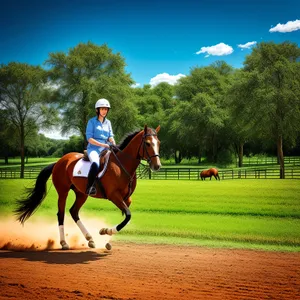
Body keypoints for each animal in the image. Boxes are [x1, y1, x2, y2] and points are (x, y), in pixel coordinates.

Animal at [14, 125, 162, 250]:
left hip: (82, 194)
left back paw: (90, 239)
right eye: (148, 143)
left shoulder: (126, 198)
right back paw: (64, 243)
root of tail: (59, 161)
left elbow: (126, 218)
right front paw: (105, 231)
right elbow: (128, 216)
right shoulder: (114, 196)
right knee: (61, 214)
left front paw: (107, 236)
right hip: (63, 192)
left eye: (158, 143)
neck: (121, 165)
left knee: (74, 211)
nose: (157, 165)